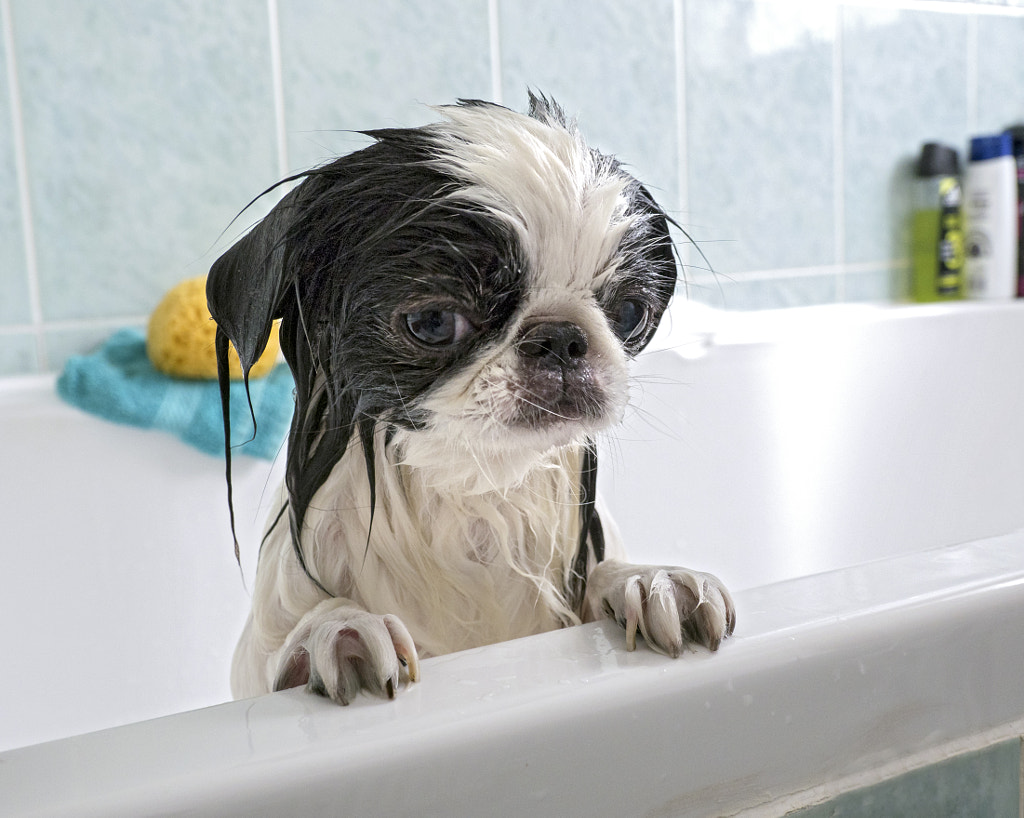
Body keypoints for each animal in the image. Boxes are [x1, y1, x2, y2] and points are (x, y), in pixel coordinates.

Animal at [209, 94, 737, 704]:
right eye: (434, 322)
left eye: (629, 312)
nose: (561, 337)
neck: (472, 492)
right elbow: (291, 640)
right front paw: (337, 628)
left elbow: (609, 574)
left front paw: (650, 581)